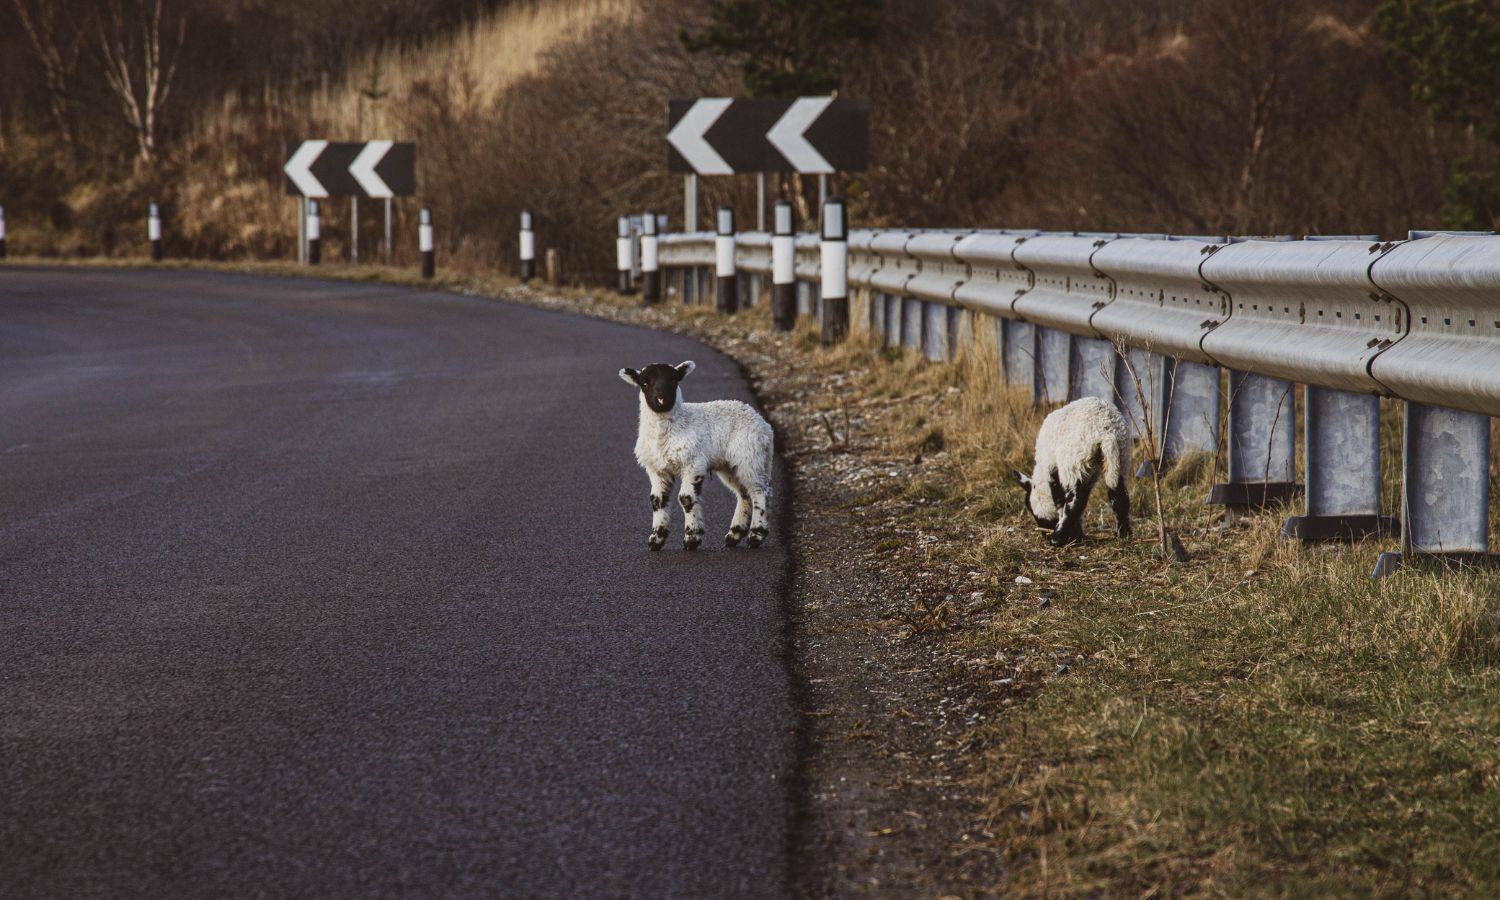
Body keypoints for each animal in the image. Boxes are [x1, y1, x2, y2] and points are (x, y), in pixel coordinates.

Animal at [618, 360, 774, 551]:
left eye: (673, 380)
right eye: (644, 383)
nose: (661, 399)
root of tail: (764, 426)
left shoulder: (693, 463)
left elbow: (686, 499)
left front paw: (691, 538)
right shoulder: (657, 468)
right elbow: (657, 500)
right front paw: (656, 540)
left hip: (749, 456)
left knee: (760, 491)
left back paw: (756, 536)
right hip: (730, 464)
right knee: (744, 494)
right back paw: (734, 535)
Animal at [1013, 397, 1131, 546]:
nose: (1044, 534)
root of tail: (1107, 433)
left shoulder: (1054, 472)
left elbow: (1061, 503)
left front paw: (1071, 535)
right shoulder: (1088, 477)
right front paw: (1077, 534)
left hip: (1074, 463)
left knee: (1075, 502)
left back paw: (1057, 538)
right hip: (1120, 458)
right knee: (1118, 494)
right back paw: (1123, 535)